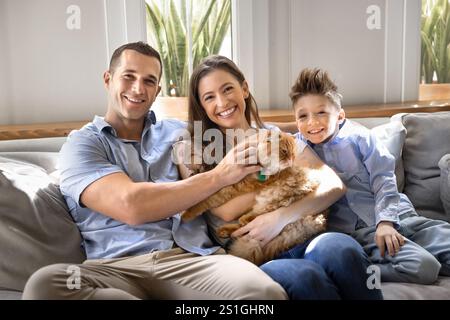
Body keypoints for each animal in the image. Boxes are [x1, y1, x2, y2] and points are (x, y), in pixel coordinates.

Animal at [181, 131, 328, 266]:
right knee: (241, 228)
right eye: (285, 151)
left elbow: (207, 200)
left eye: (294, 154)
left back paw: (239, 222)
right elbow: (209, 181)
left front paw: (186, 214)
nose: (291, 161)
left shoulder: (236, 186)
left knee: (253, 219)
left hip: (279, 199)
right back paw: (224, 231)